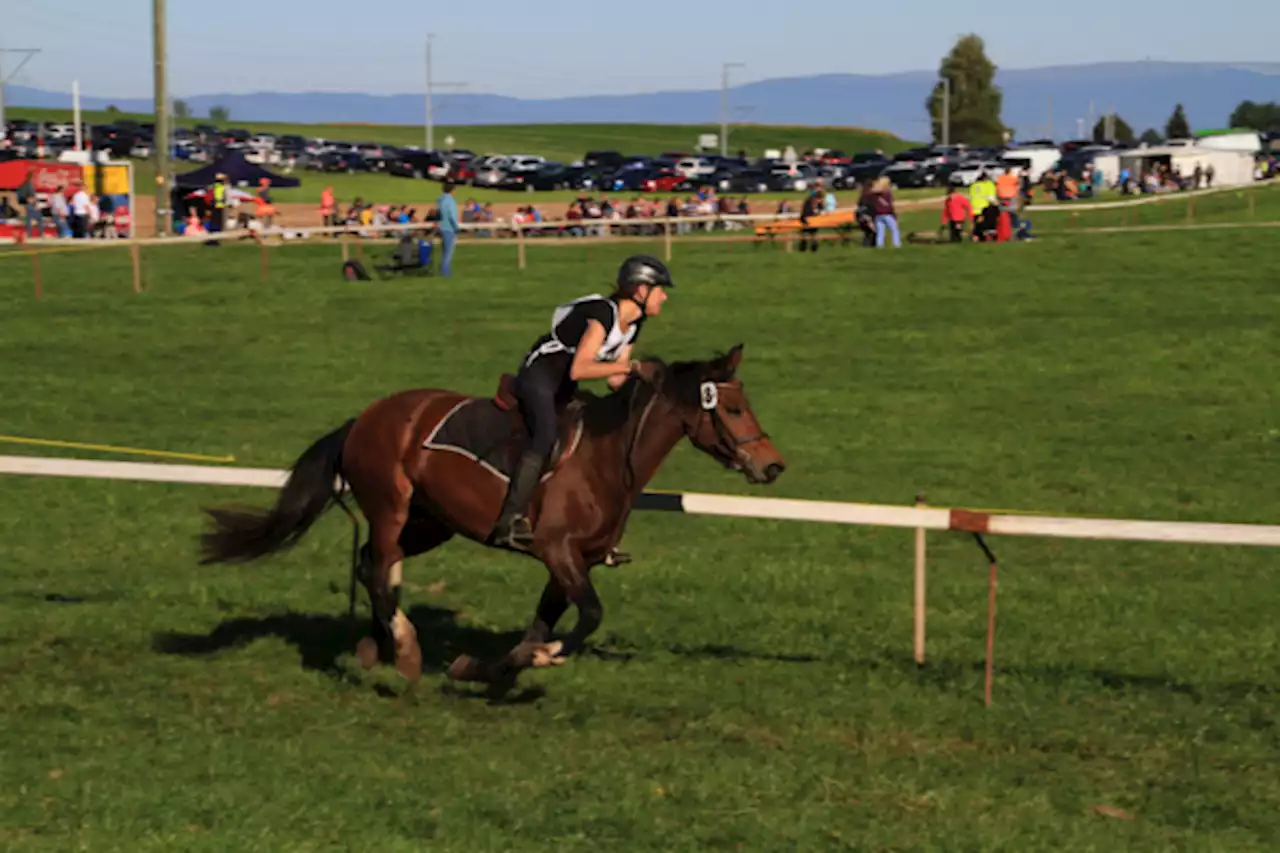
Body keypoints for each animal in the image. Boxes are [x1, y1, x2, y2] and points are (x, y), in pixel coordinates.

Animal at [195, 343, 783, 686]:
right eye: (733, 408)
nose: (773, 465)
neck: (608, 456)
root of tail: (364, 417)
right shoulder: (556, 550)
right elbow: (588, 615)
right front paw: (542, 657)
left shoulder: (573, 562)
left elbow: (539, 626)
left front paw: (486, 666)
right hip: (391, 506)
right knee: (378, 565)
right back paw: (404, 651)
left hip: (433, 522)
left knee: (370, 563)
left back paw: (378, 644)